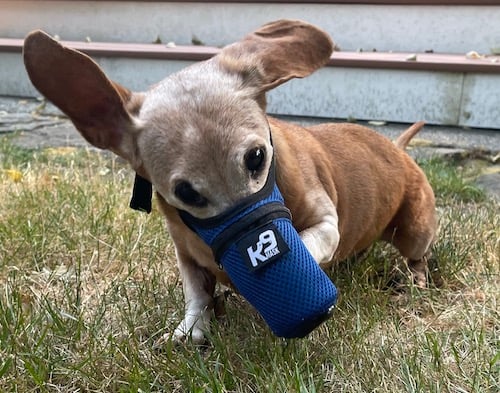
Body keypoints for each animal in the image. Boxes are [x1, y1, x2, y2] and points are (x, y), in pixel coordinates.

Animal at [25, 19, 436, 342]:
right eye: (185, 192)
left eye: (256, 157)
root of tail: (397, 147)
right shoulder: (186, 255)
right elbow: (197, 293)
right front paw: (192, 327)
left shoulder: (325, 223)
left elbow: (307, 241)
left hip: (414, 230)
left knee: (417, 256)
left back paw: (413, 280)